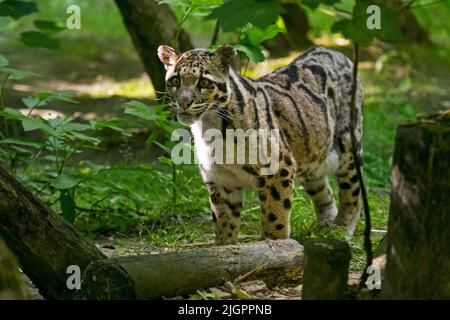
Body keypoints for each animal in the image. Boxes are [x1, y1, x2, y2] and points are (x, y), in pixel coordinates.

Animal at [157, 45, 362, 244]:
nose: (183, 102)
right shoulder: (220, 178)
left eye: (204, 82)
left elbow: (275, 216)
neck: (209, 125)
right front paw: (225, 246)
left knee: (353, 190)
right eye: (175, 81)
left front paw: (275, 245)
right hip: (312, 154)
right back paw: (325, 226)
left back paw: (341, 228)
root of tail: (335, 52)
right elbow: (224, 221)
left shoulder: (278, 168)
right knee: (323, 189)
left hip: (348, 146)